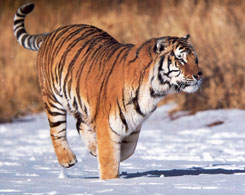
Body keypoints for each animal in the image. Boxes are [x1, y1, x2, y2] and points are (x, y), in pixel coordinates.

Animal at [12, 3, 202, 180]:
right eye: (180, 59)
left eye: (195, 59)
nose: (199, 74)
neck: (154, 91)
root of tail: (51, 32)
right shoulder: (107, 124)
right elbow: (110, 160)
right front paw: (111, 182)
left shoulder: (133, 125)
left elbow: (127, 150)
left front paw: (103, 154)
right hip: (53, 99)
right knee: (56, 130)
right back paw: (67, 159)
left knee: (79, 124)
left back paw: (92, 148)